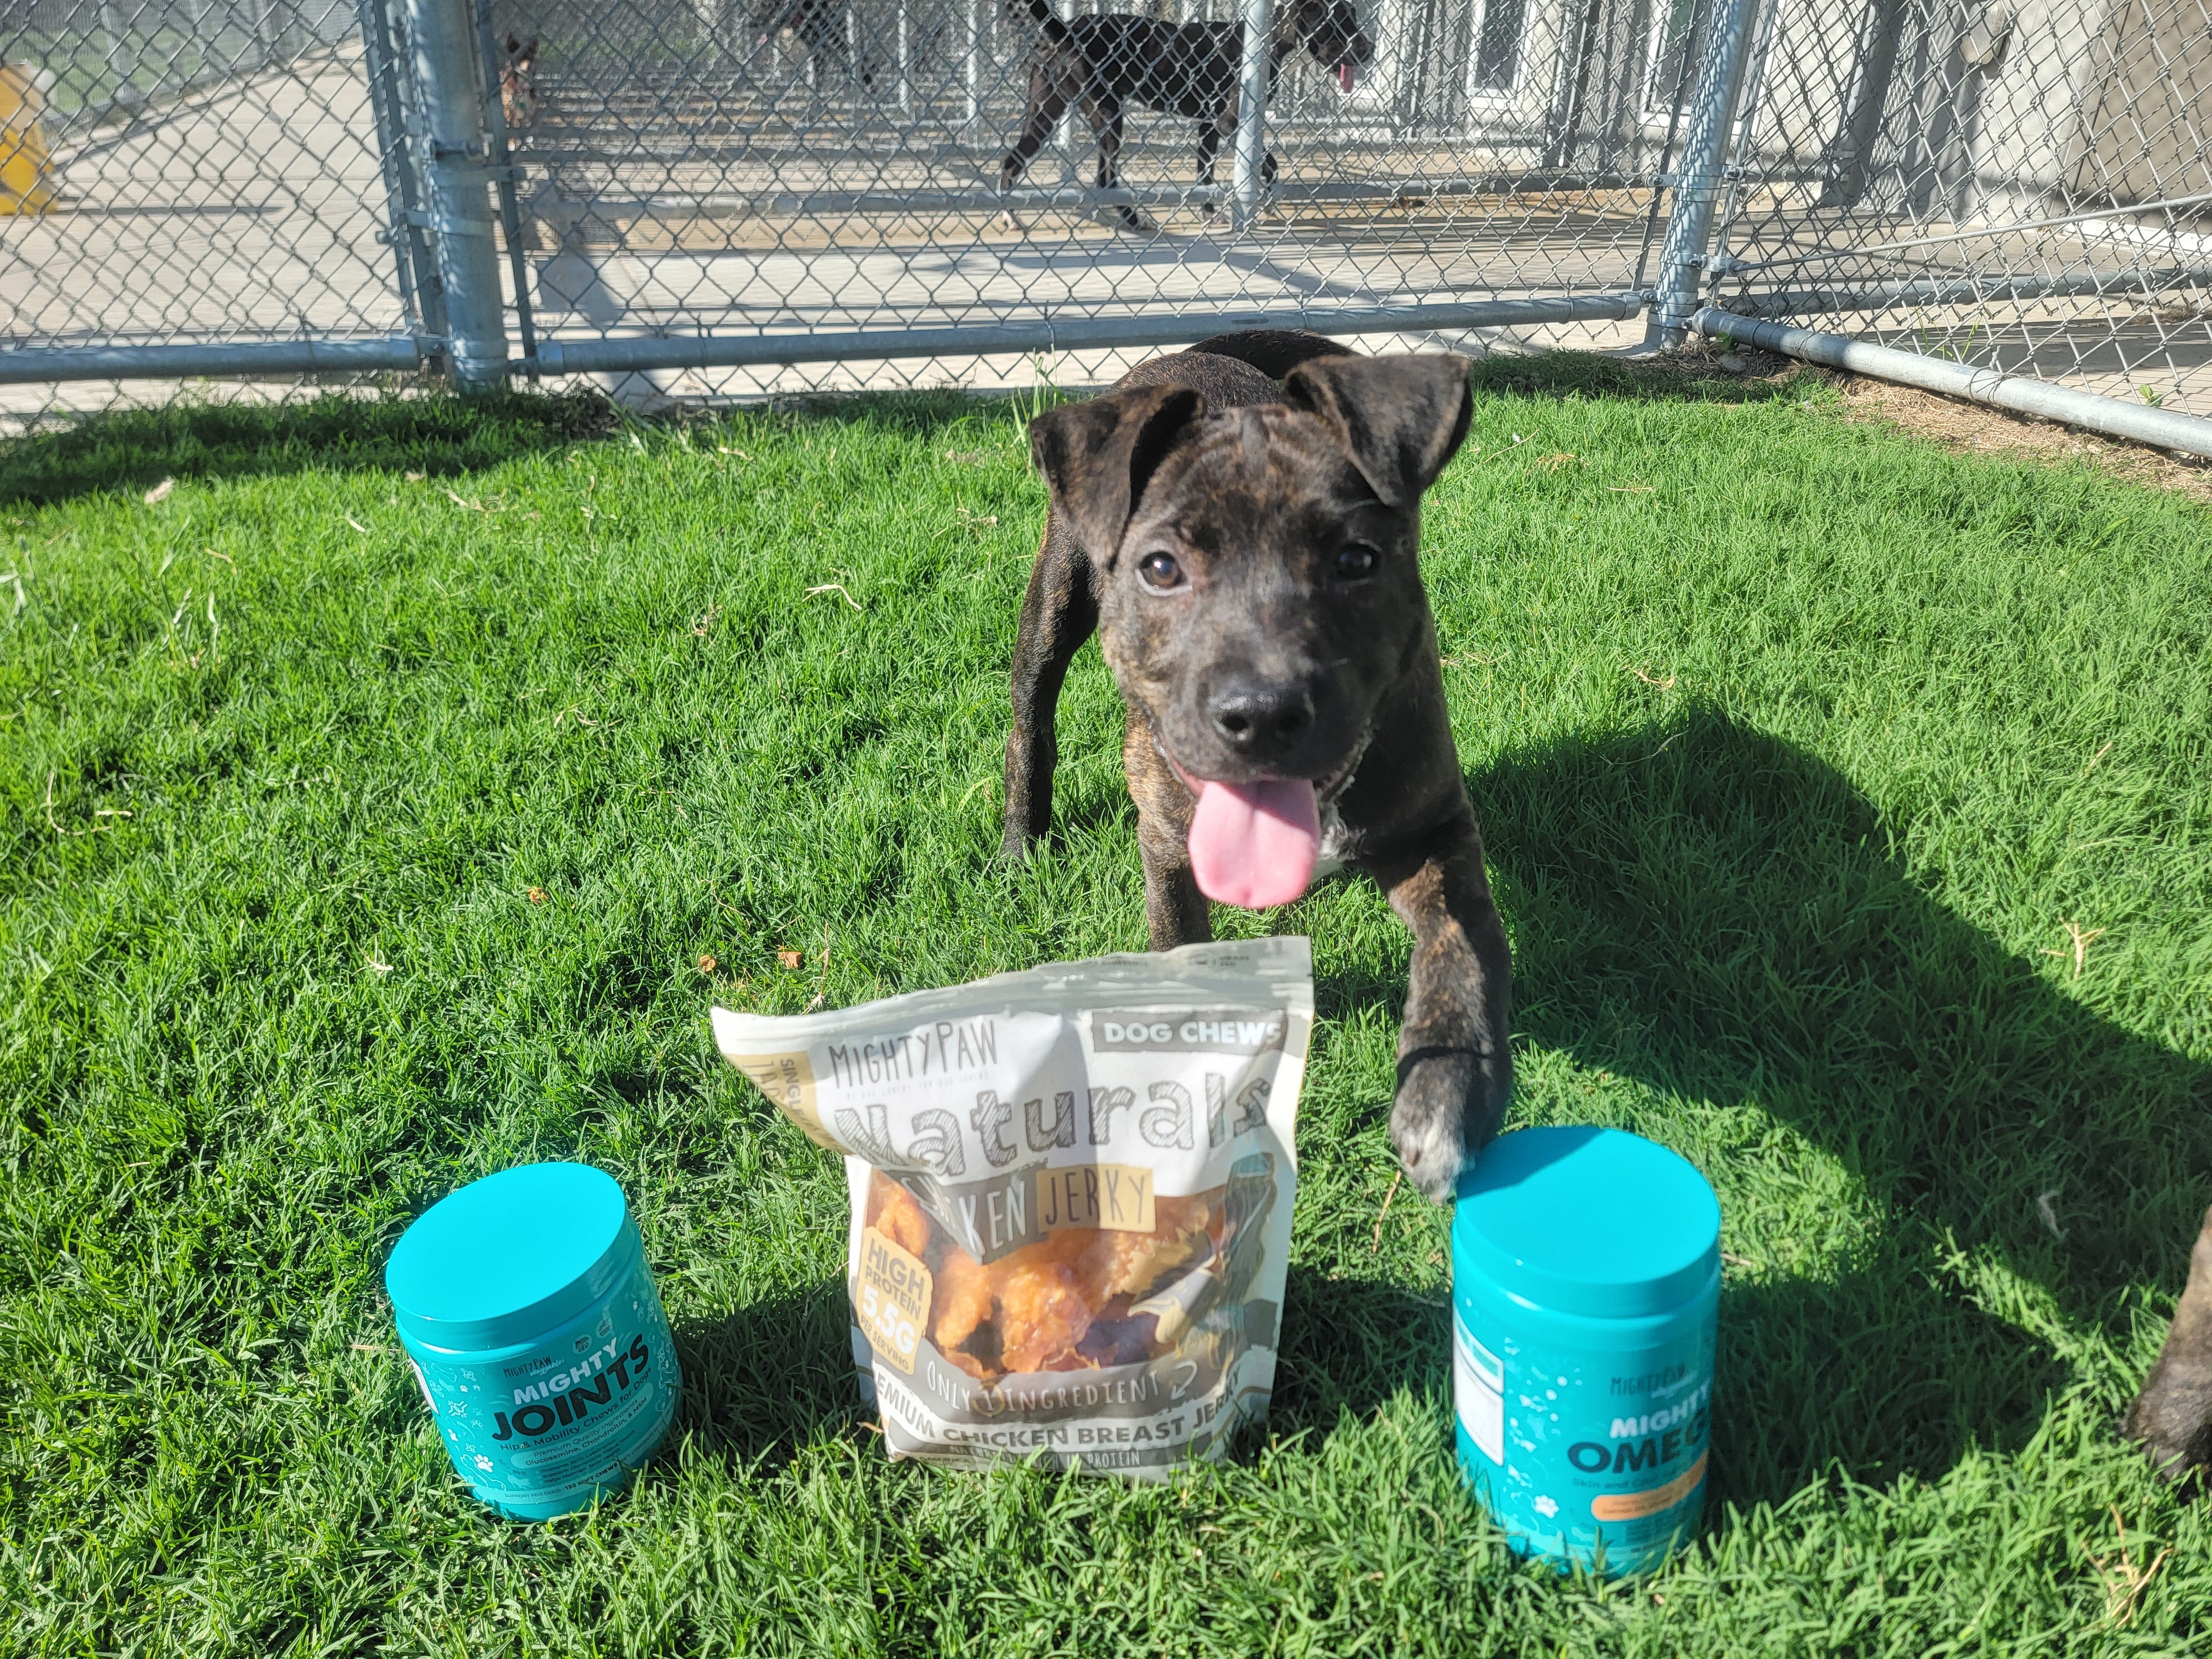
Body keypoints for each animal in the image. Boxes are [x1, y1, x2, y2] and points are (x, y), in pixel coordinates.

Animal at [1009, 332, 1513, 1203]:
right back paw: (1020, 840)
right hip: (1055, 597)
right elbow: (1184, 955)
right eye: (1160, 568)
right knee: (1030, 709)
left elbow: (1463, 942)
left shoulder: (1436, 824)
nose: (1263, 711)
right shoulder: (1167, 847)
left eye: (1356, 559)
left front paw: (1448, 1093)